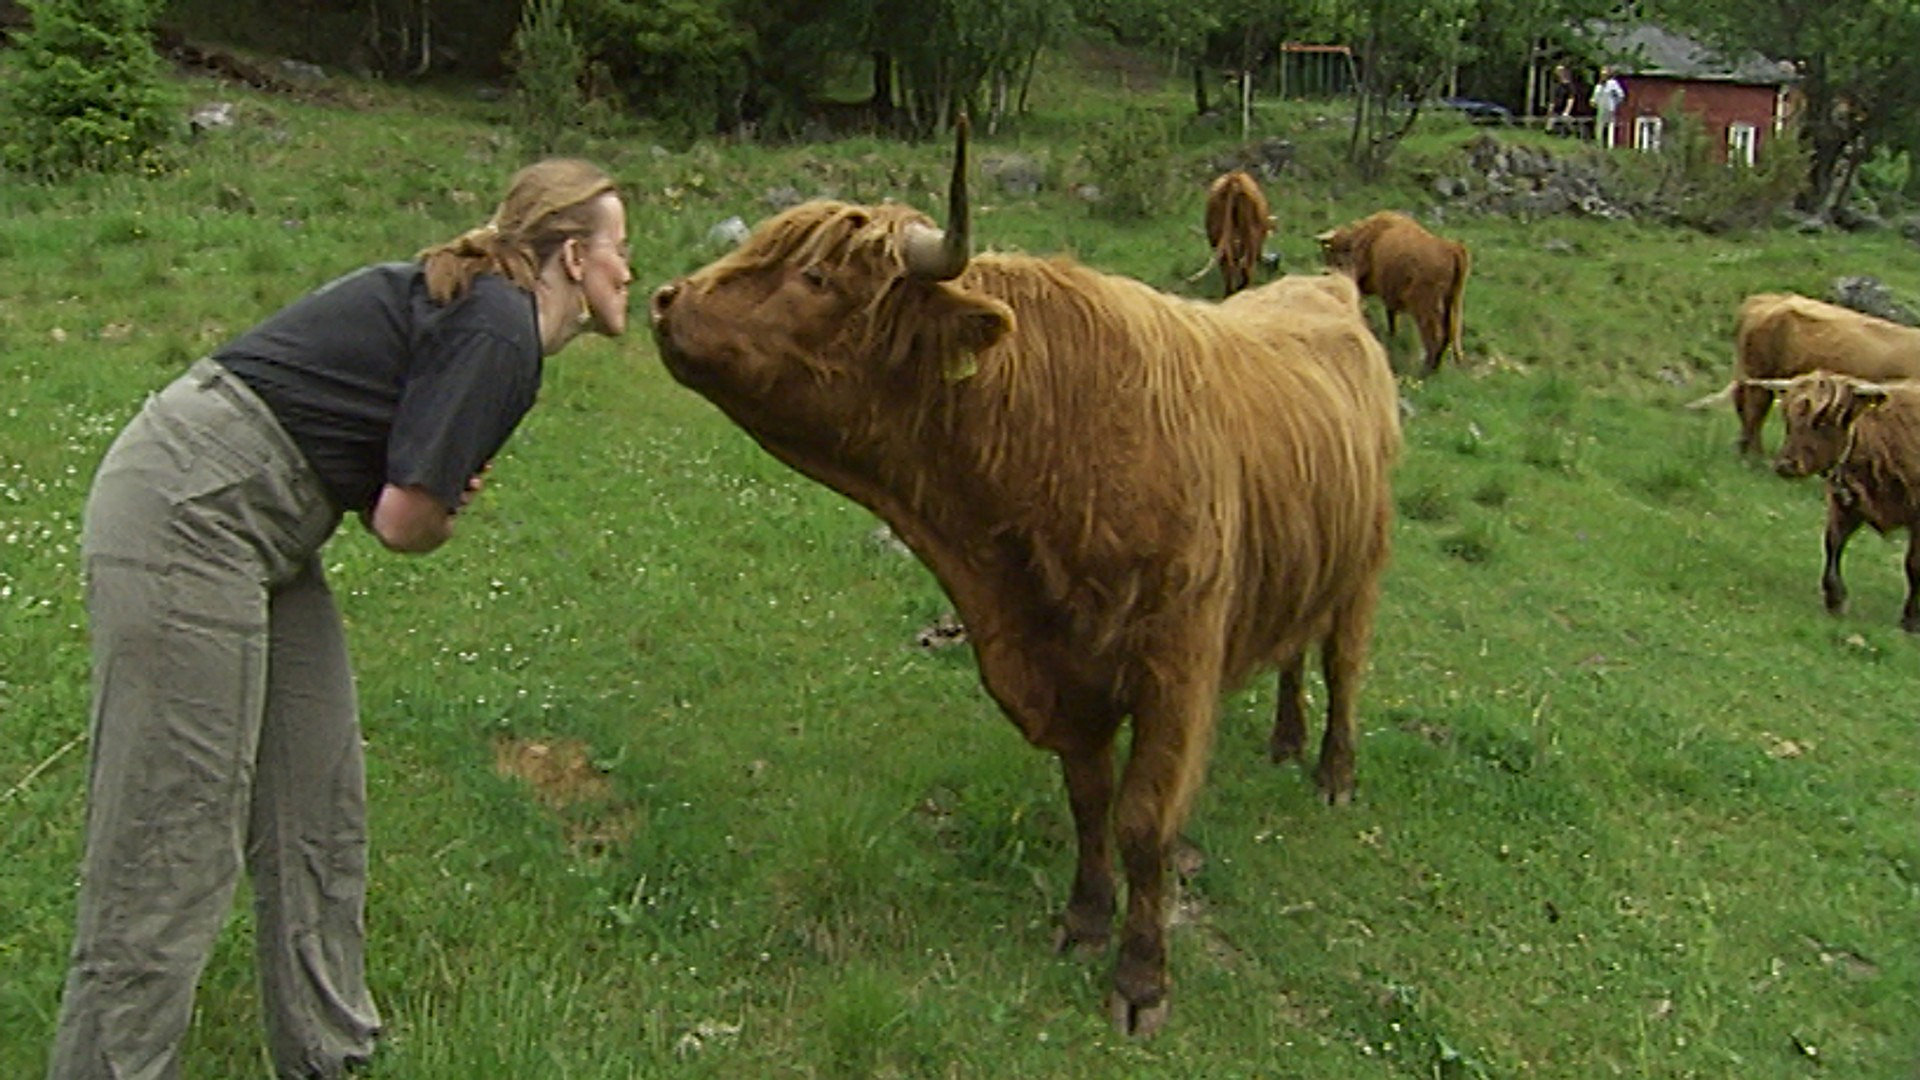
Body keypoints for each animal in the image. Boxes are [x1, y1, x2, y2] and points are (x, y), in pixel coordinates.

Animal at [645, 119, 1397, 1037]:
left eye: (815, 277)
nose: (666, 300)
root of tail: (1325, 288)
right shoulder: (1061, 674)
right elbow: (1089, 799)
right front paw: (1084, 918)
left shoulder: (1175, 672)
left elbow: (1144, 819)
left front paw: (1142, 978)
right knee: (1293, 650)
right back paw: (1287, 739)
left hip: (1364, 566)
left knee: (1342, 664)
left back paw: (1332, 774)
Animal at [1320, 208, 1466, 372]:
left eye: (1333, 251)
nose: (1327, 273)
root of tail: (1452, 248)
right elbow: (1391, 318)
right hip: (1451, 304)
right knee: (1449, 333)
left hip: (1426, 307)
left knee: (1435, 336)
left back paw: (1426, 369)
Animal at [1751, 367, 1912, 626]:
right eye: (1788, 419)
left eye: (1824, 421)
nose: (1785, 465)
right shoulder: (1844, 504)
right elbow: (1832, 543)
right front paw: (1835, 599)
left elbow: (1913, 564)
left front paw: (1910, 620)